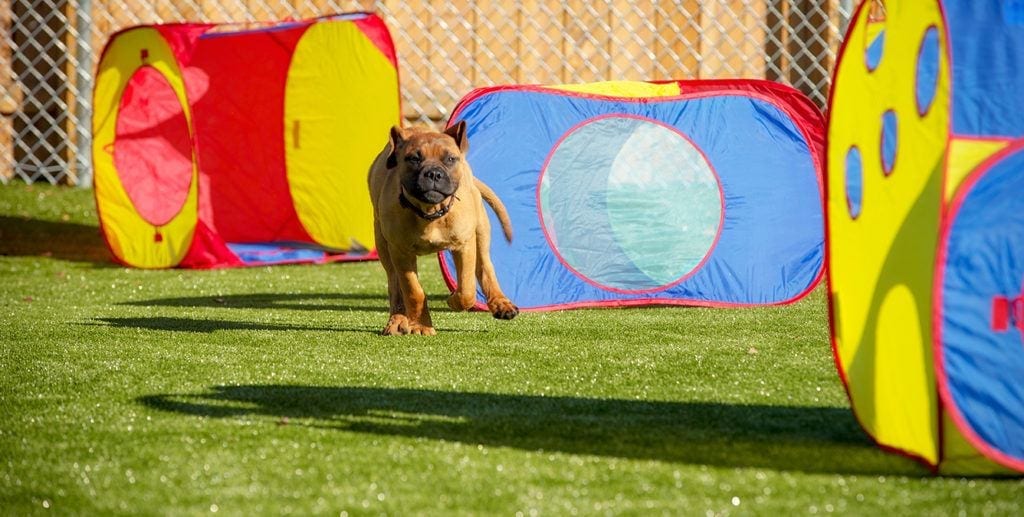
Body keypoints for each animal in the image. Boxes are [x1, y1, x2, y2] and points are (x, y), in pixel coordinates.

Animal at [366, 120, 516, 333]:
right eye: (413, 159)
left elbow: (467, 289)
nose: (434, 173)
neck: (430, 213)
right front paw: (421, 325)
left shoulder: (464, 245)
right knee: (395, 284)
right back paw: (397, 320)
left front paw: (453, 300)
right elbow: (413, 290)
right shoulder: (400, 251)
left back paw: (501, 303)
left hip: (481, 230)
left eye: (450, 159)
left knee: (485, 267)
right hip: (383, 244)